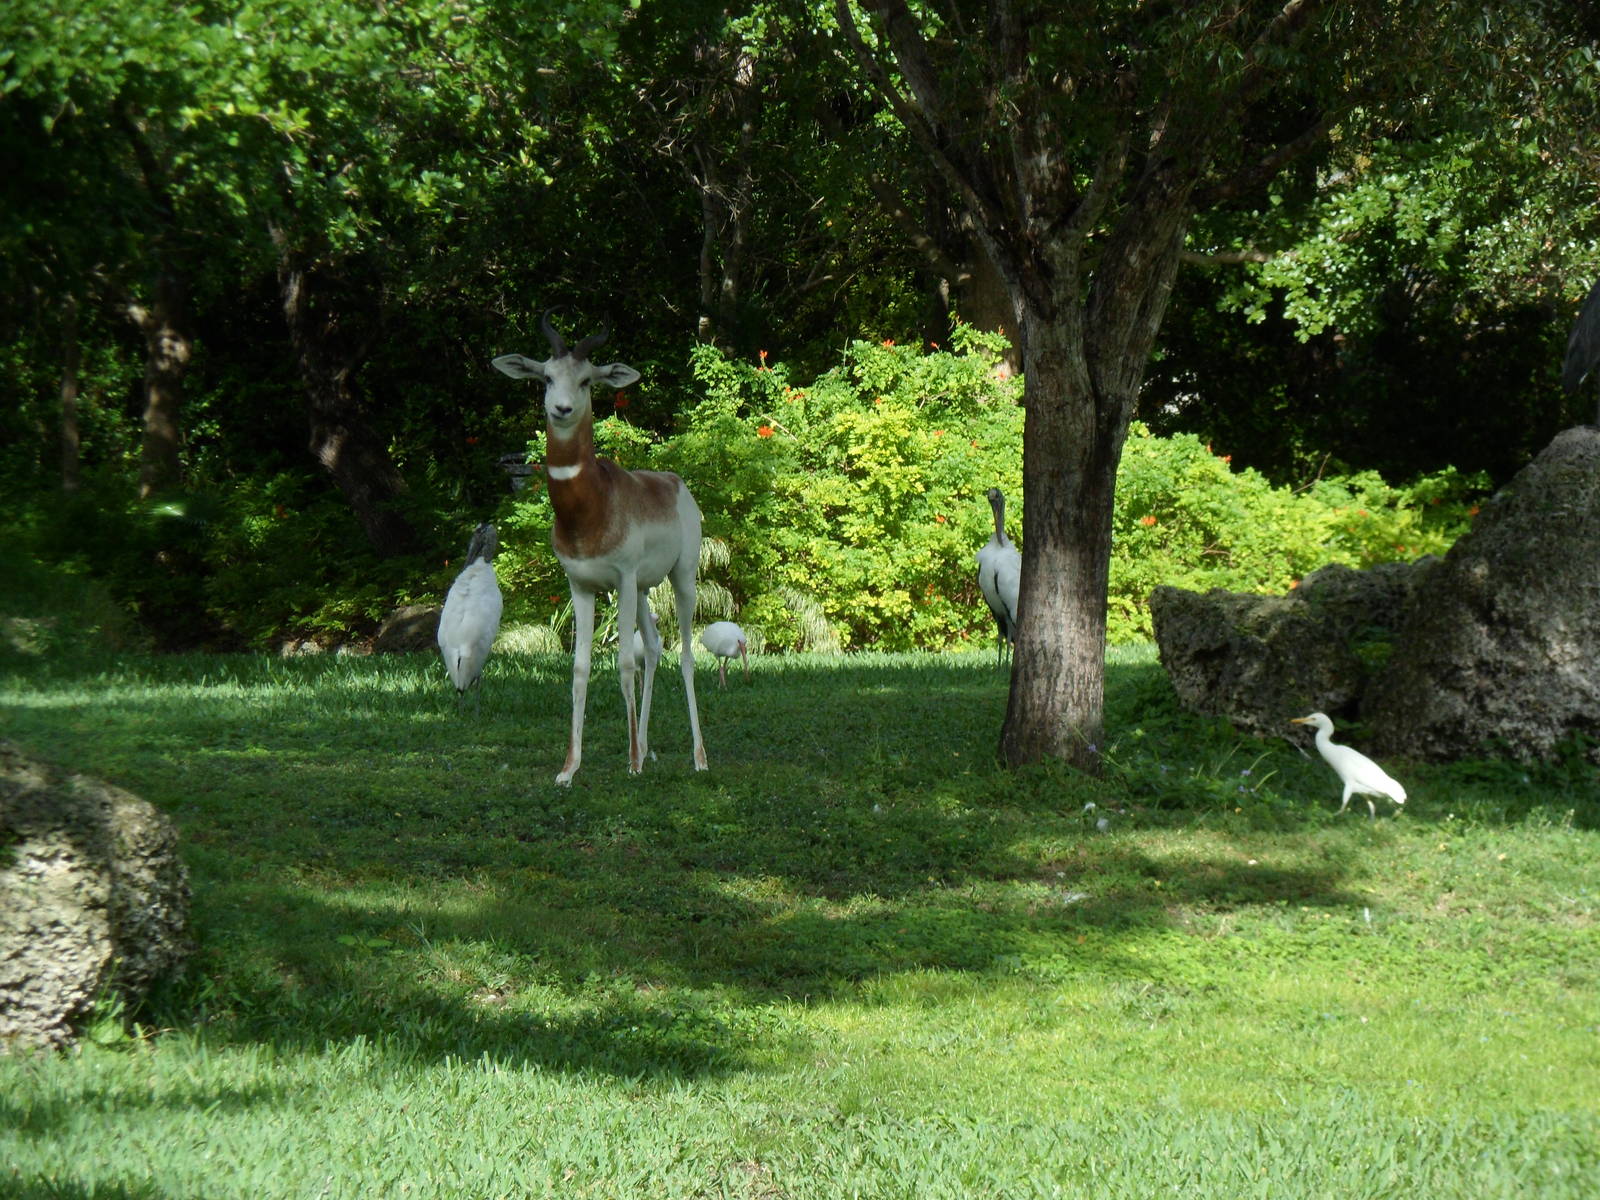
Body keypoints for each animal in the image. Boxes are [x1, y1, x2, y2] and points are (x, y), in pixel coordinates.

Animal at [492, 315, 707, 784]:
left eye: (588, 380)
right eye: (546, 377)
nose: (561, 409)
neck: (589, 509)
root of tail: (675, 483)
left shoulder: (622, 579)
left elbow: (624, 663)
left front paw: (631, 763)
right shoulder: (581, 585)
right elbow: (580, 668)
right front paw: (569, 768)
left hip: (681, 578)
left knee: (684, 655)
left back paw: (698, 757)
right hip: (644, 590)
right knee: (655, 648)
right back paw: (646, 745)